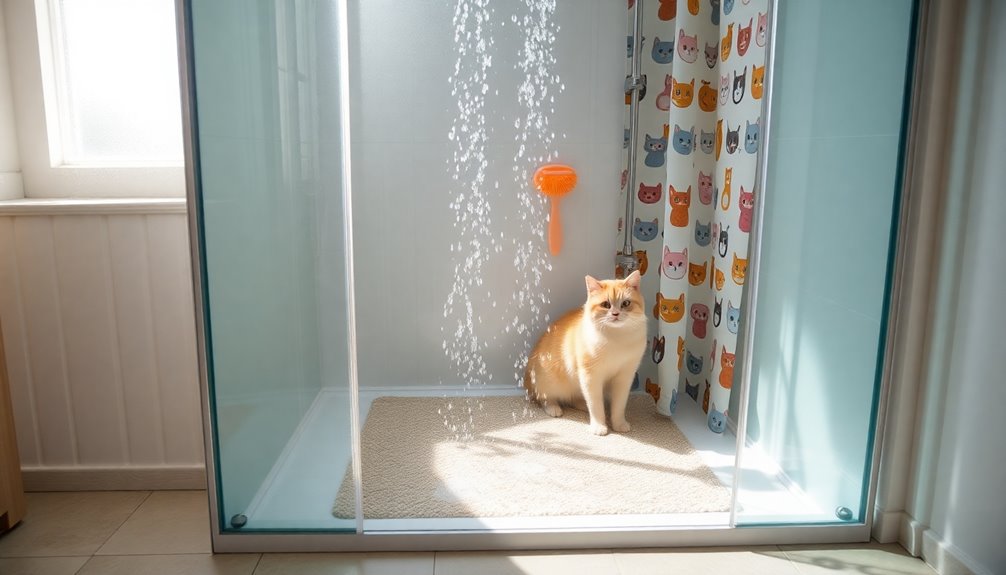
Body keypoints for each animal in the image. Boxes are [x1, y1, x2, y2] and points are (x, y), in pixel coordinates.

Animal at [523, 271, 647, 434]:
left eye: (626, 303)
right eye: (606, 305)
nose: (615, 314)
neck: (616, 337)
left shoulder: (624, 377)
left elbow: (619, 406)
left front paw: (619, 424)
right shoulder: (591, 376)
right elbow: (596, 405)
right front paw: (599, 426)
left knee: (573, 398)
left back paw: (582, 404)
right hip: (549, 381)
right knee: (544, 397)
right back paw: (553, 408)